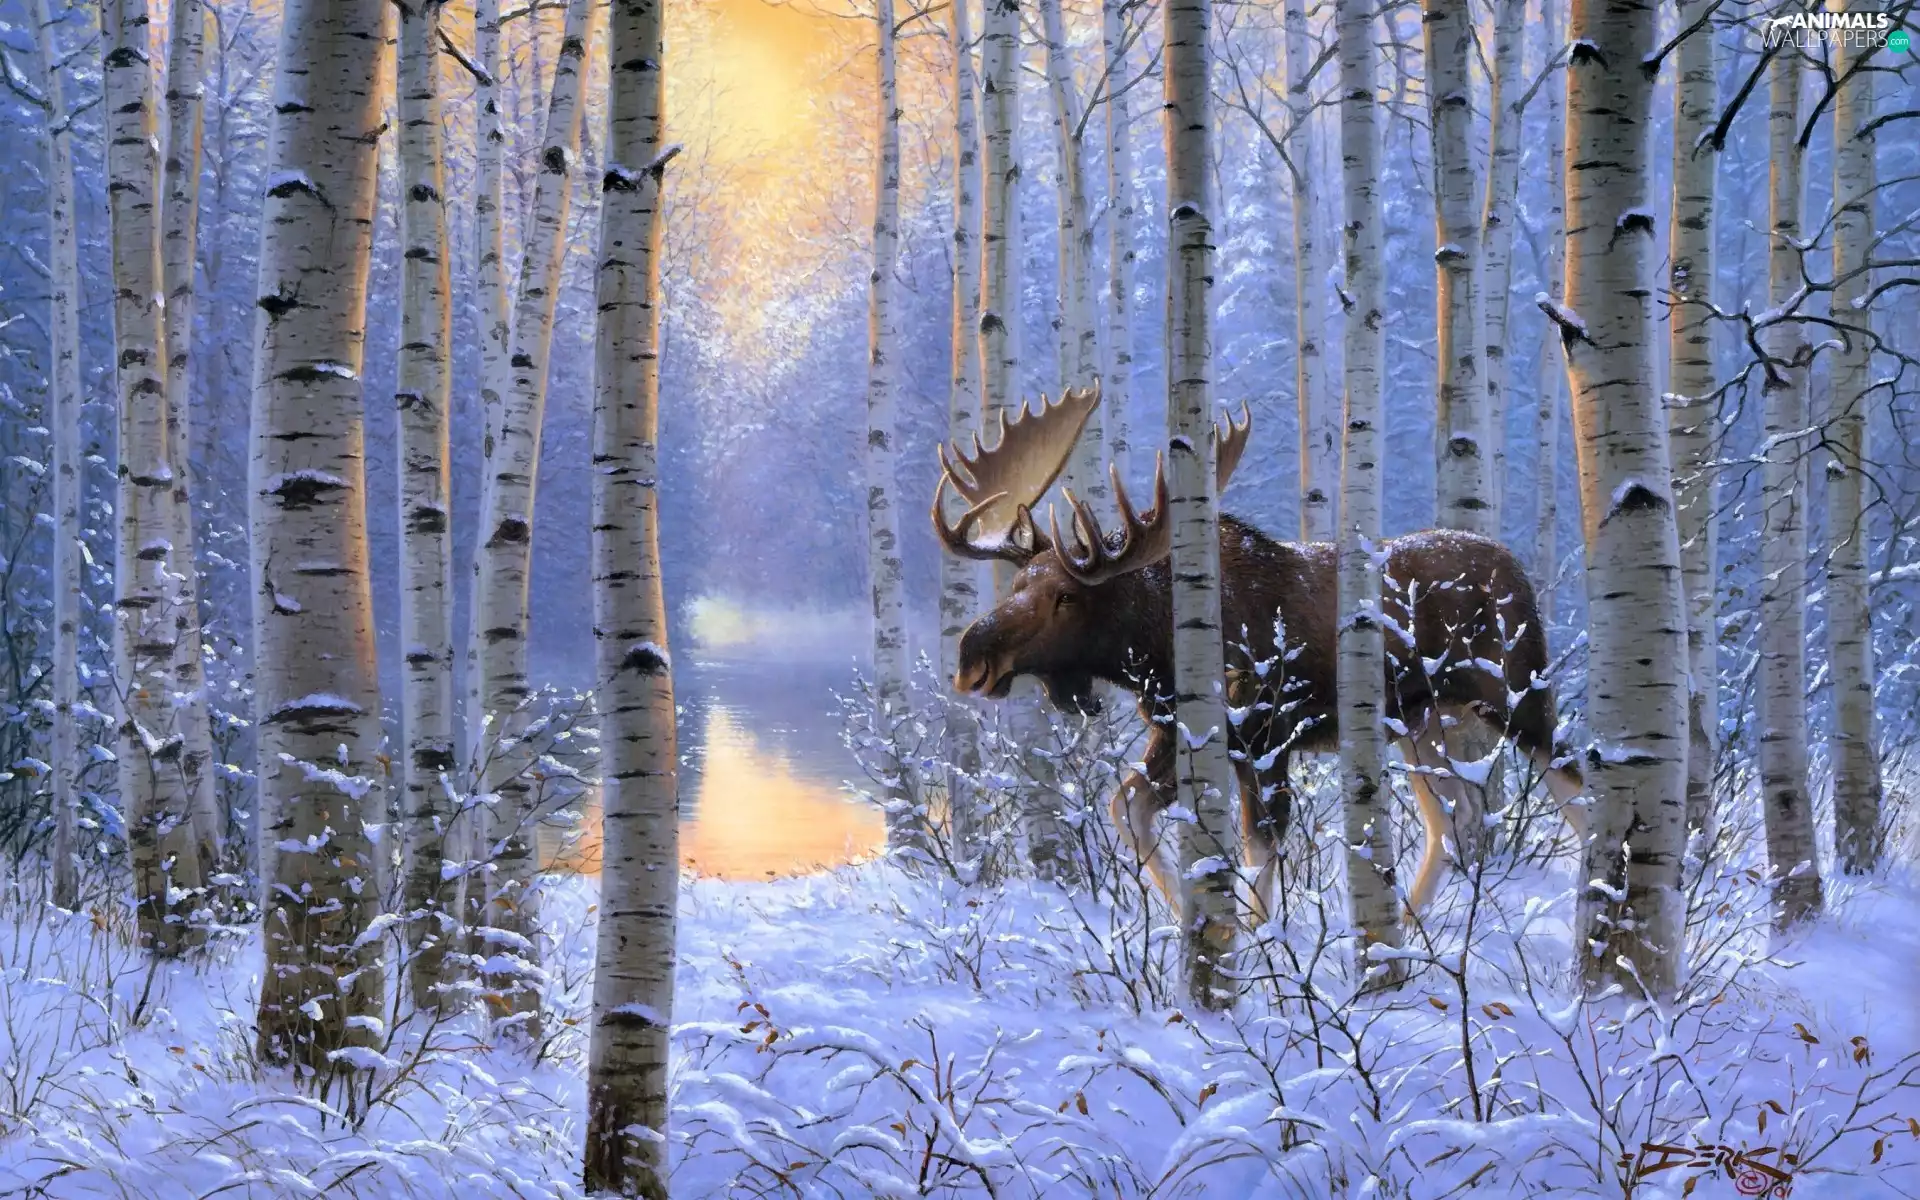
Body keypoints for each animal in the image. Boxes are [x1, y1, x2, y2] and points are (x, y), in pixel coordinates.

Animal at [932, 383, 1587, 921]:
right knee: (1457, 817)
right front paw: (1187, 922)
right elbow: (1128, 809)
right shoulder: (1180, 734)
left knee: (1576, 787)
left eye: (1065, 596)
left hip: (1518, 695)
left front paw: (1258, 947)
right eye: (1016, 585)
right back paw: (1406, 938)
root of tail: (1519, 573)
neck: (1155, 650)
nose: (971, 659)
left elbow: (1259, 851)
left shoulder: (1269, 737)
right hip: (1420, 719)